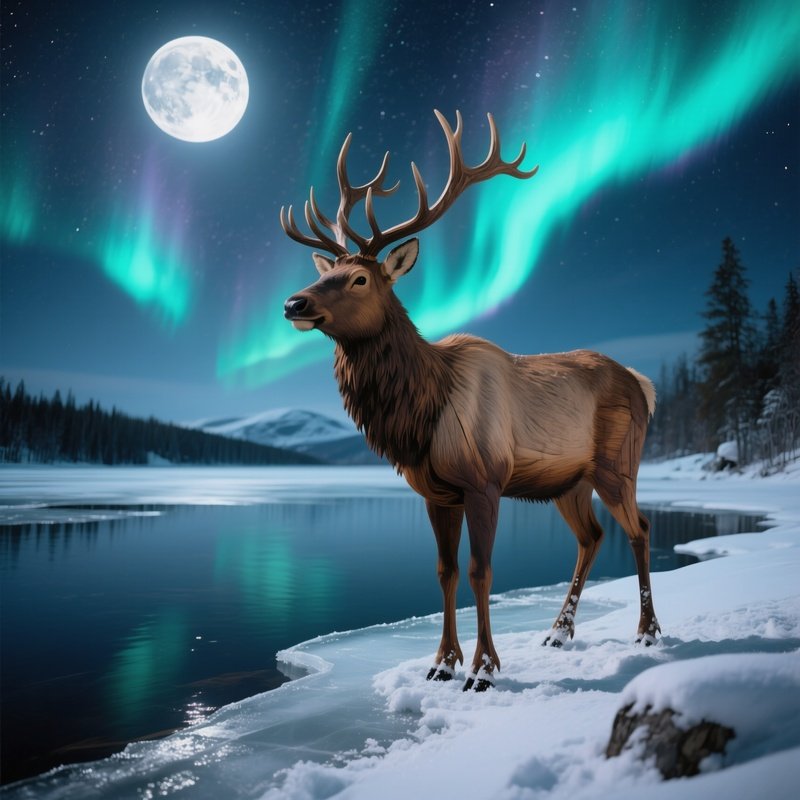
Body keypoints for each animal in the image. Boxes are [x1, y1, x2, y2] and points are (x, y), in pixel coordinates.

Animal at [281, 110, 660, 691]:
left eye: (360, 277)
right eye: (325, 273)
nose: (293, 303)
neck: (420, 412)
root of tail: (644, 384)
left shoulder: (485, 481)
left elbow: (483, 571)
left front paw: (483, 670)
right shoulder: (436, 492)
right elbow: (447, 571)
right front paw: (441, 662)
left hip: (619, 463)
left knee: (639, 529)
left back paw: (647, 631)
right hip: (569, 482)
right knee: (592, 536)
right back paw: (558, 633)